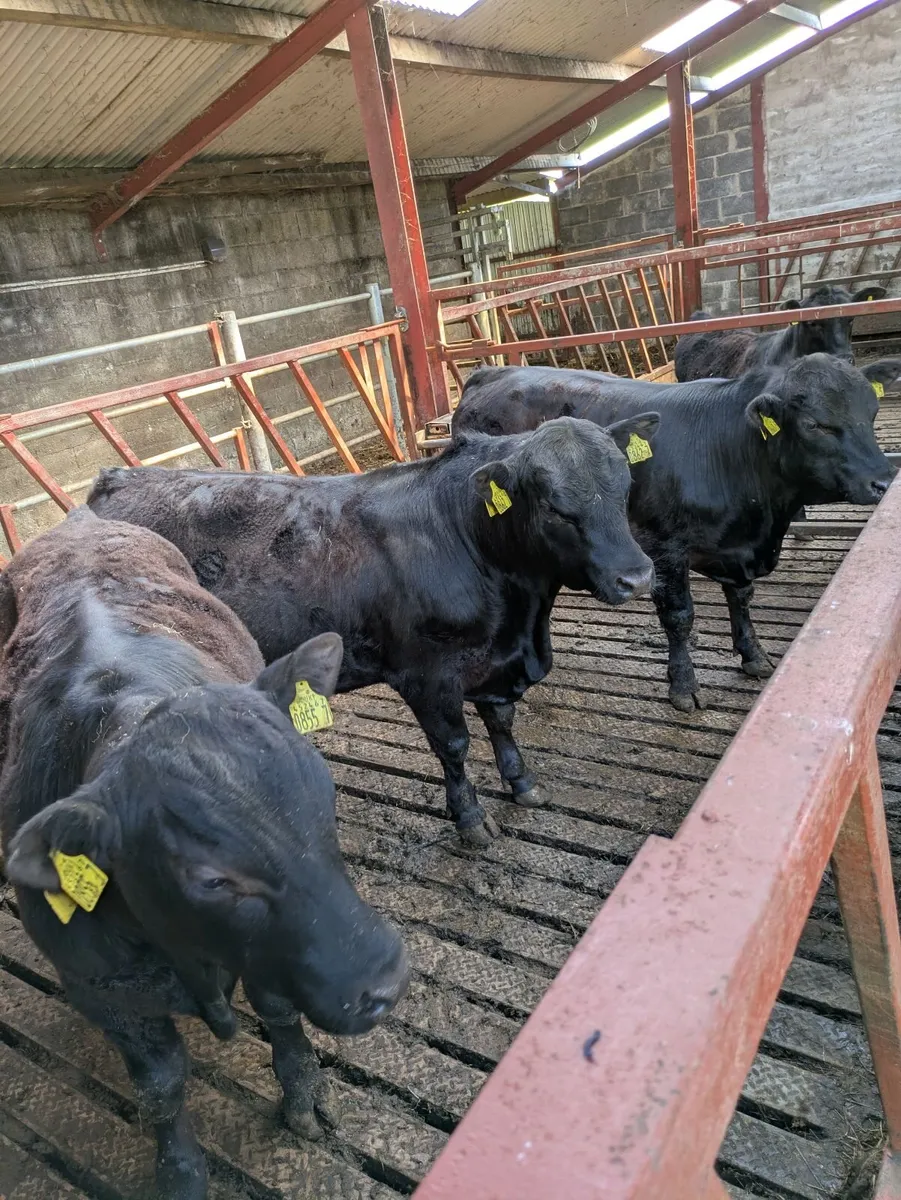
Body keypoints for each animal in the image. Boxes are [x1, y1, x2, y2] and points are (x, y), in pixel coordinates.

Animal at [0, 510, 408, 1200]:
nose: (386, 980)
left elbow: (280, 1010)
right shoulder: (101, 990)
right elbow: (162, 1088)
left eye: (324, 795)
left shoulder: (275, 957)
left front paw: (303, 1095)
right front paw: (180, 1172)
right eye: (210, 880)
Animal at [87, 416, 658, 849]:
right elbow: (454, 745)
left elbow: (501, 723)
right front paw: (471, 819)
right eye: (556, 507)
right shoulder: (428, 674)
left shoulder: (493, 663)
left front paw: (522, 783)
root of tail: (113, 479)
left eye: (625, 489)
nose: (637, 576)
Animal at [451, 355, 899, 712]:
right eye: (815, 425)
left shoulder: (736, 551)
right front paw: (684, 686)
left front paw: (753, 655)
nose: (883, 480)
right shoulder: (664, 548)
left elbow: (741, 599)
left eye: (872, 412)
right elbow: (680, 617)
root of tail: (491, 371)